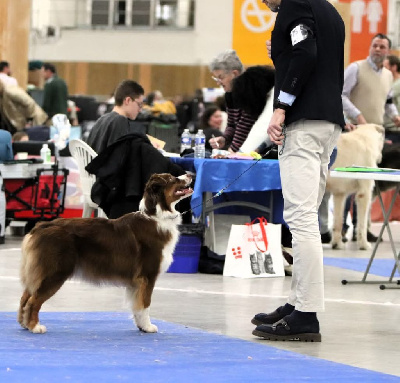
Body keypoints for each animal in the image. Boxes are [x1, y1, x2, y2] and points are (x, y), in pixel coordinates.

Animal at [18, 172, 193, 334]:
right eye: (171, 179)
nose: (190, 174)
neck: (156, 215)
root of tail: (41, 226)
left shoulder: (137, 282)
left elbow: (136, 304)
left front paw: (141, 326)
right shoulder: (147, 275)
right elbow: (145, 303)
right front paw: (148, 327)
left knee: (25, 296)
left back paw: (24, 324)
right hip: (55, 271)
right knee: (33, 300)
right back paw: (35, 327)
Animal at [326, 124, 386, 252]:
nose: (380, 158)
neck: (364, 138)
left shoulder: (339, 194)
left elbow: (338, 221)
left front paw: (337, 244)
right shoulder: (365, 193)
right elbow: (362, 223)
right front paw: (364, 244)